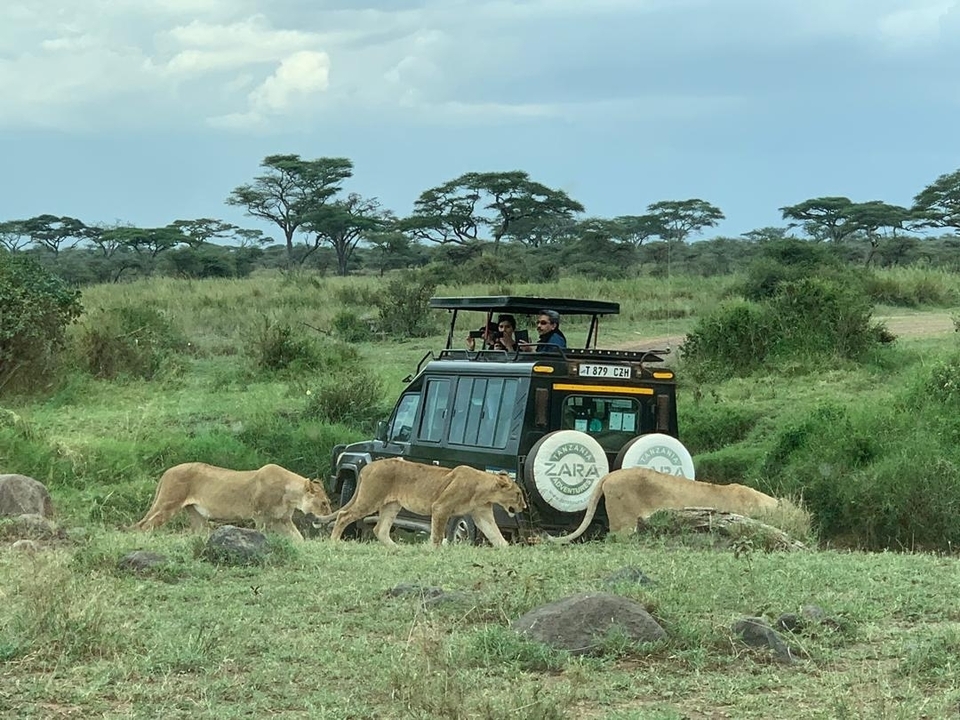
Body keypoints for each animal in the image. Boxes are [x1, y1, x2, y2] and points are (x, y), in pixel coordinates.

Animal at [133, 462, 333, 541]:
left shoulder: (282, 519)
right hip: (168, 504)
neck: (291, 496)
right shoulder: (260, 517)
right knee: (145, 526)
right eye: (324, 503)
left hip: (196, 515)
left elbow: (298, 538)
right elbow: (263, 534)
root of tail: (167, 471)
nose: (329, 517)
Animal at [321, 458, 526, 548]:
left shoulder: (482, 514)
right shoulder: (441, 507)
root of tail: (368, 466)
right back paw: (334, 541)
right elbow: (437, 535)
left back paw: (397, 549)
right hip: (370, 498)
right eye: (518, 494)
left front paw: (507, 552)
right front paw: (435, 551)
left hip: (392, 505)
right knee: (343, 515)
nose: (524, 506)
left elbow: (496, 535)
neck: (484, 489)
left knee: (380, 529)